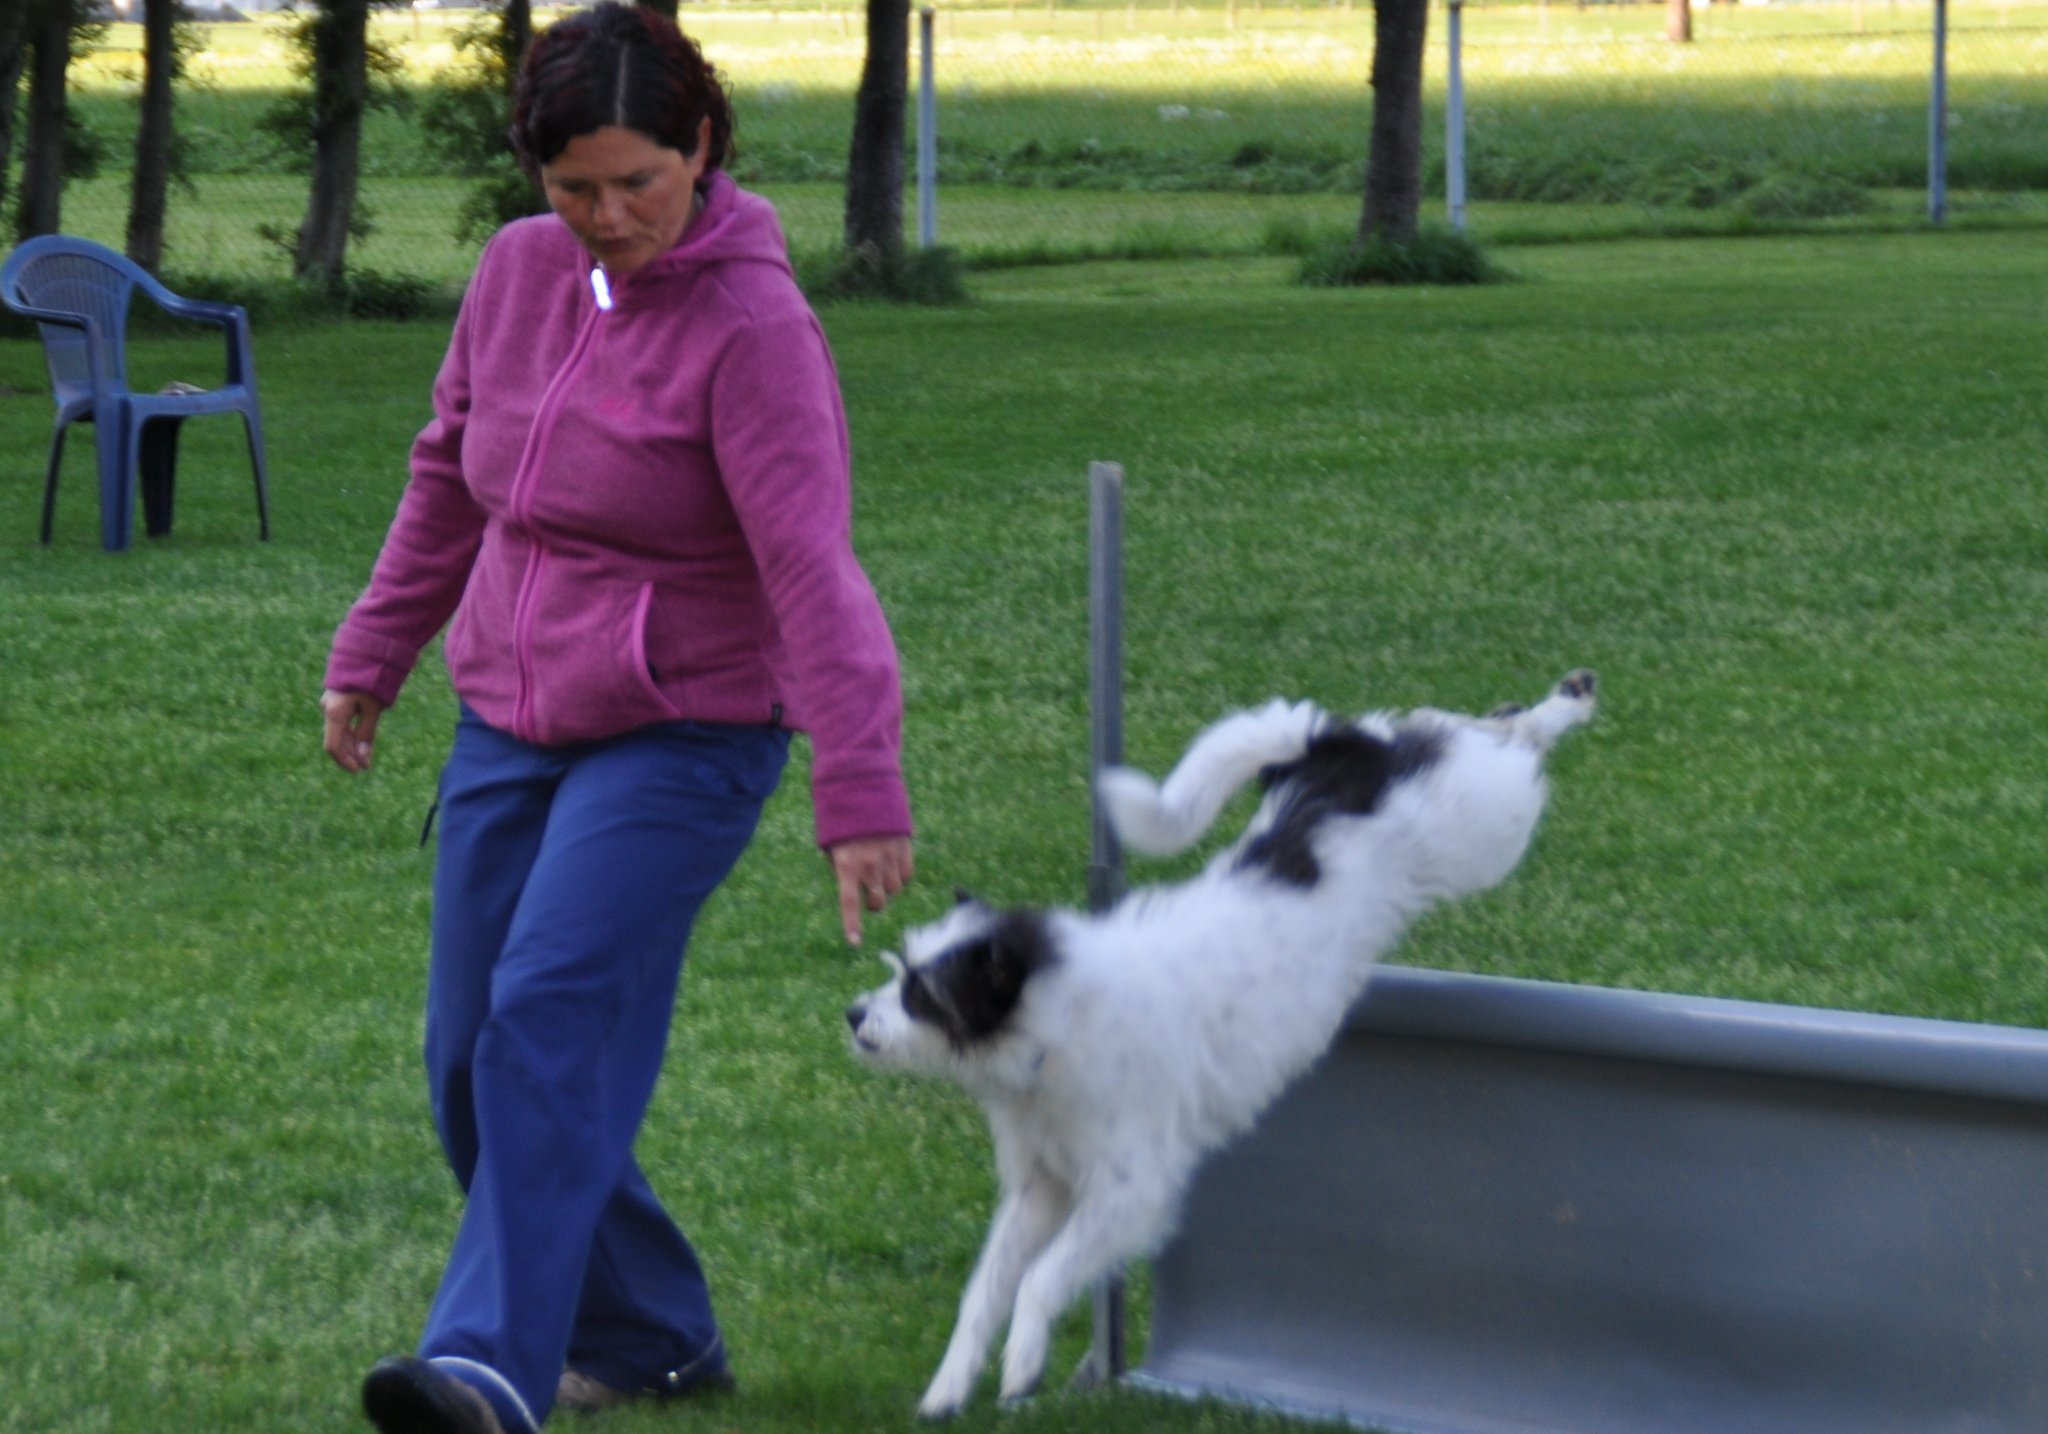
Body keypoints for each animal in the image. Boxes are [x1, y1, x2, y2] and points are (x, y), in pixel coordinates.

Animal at [845, 670, 1596, 1418]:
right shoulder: (1043, 1186)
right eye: (900, 970)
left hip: (1482, 826)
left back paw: (1565, 702)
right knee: (1452, 728)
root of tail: (1334, 753)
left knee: (1508, 741)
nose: (853, 1014)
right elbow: (987, 1289)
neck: (1061, 1019)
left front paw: (1022, 1364)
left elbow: (1041, 1279)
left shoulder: (1129, 1190)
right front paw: (949, 1388)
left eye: (921, 995)